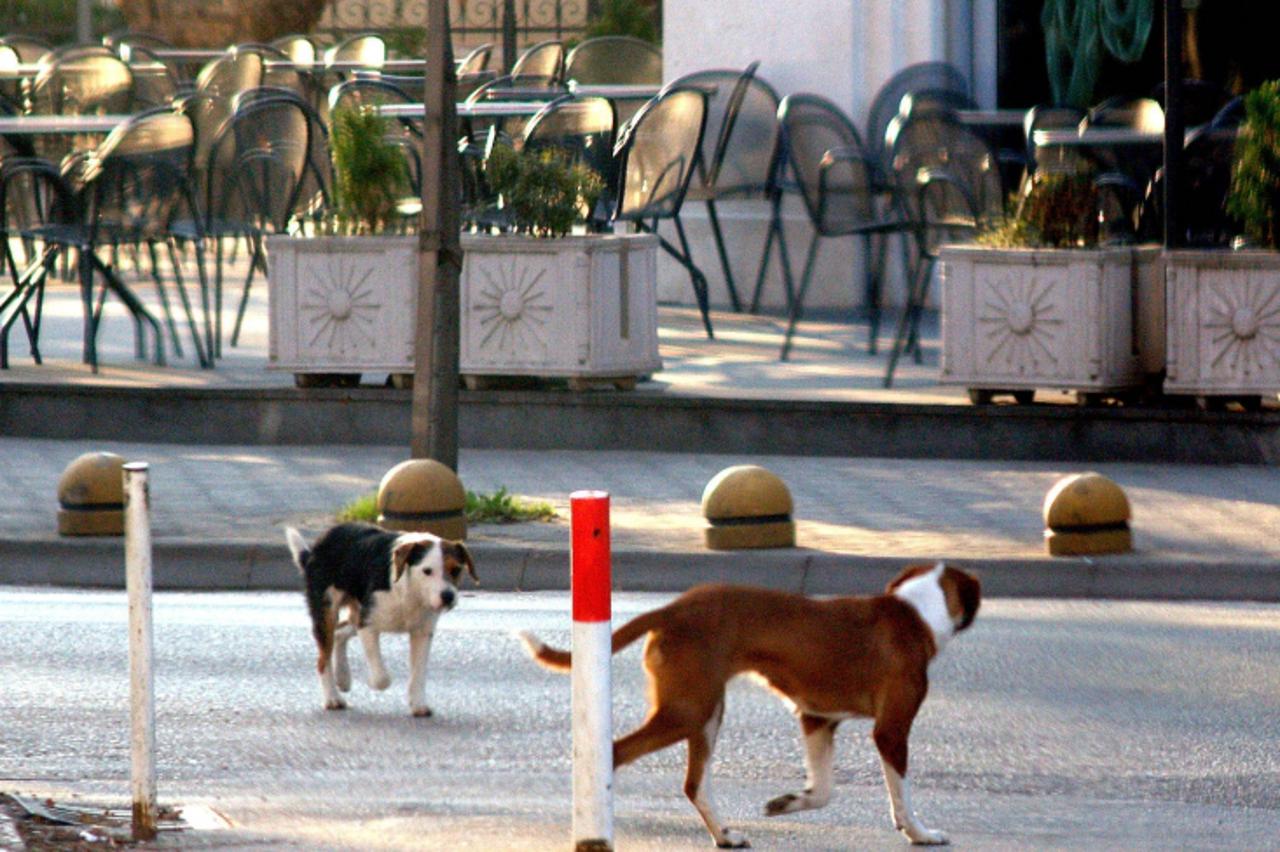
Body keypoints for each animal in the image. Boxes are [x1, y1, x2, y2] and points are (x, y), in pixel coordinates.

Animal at [284, 521, 476, 711]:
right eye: (427, 571)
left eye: (456, 570)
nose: (448, 596)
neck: (410, 591)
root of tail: (315, 548)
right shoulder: (367, 625)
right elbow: (382, 678)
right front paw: (371, 681)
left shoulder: (422, 633)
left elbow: (419, 672)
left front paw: (418, 703)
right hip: (327, 611)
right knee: (323, 658)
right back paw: (332, 697)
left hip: (356, 612)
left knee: (339, 633)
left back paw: (343, 677)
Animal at [517, 560, 977, 844]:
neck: (913, 611)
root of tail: (672, 608)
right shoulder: (891, 731)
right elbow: (902, 799)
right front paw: (921, 834)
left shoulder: (817, 719)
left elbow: (823, 791)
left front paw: (789, 802)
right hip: (689, 710)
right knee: (616, 753)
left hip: (706, 715)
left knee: (695, 784)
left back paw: (725, 836)